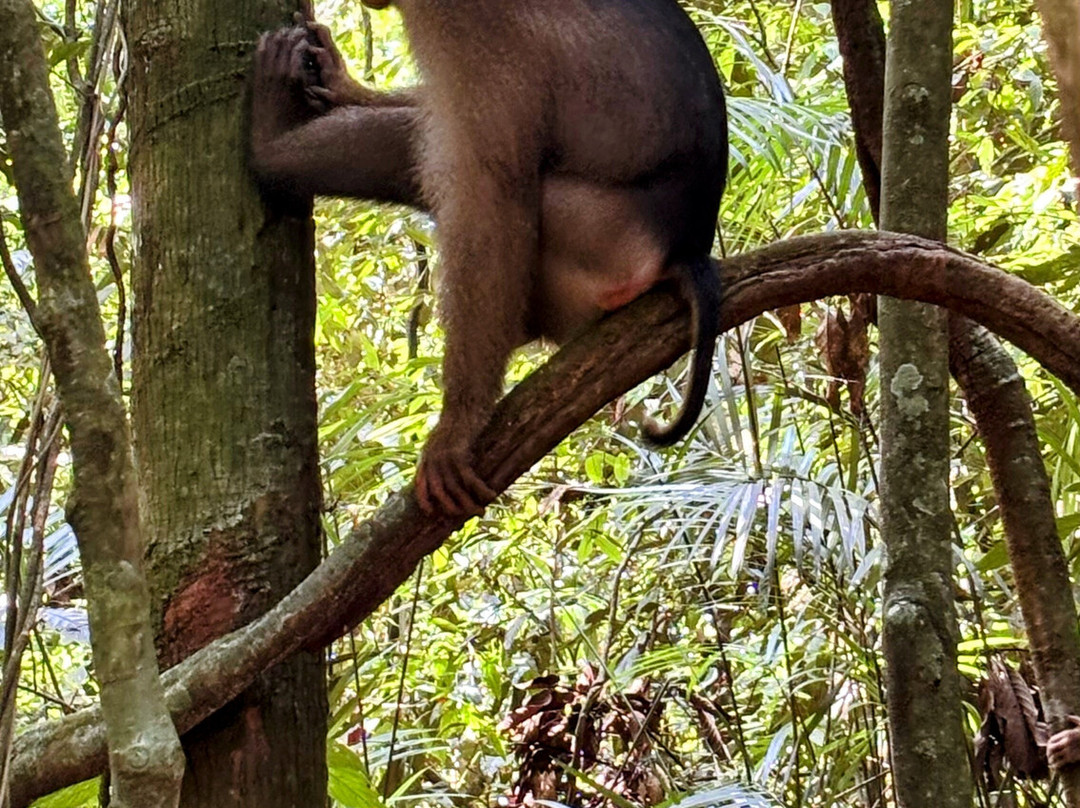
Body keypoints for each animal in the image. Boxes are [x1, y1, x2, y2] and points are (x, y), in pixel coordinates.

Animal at [250, 0, 728, 516]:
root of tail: (684, 250)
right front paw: (345, 83)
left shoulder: (468, 29)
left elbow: (490, 196)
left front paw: (457, 426)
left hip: (602, 243)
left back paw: (268, 148)